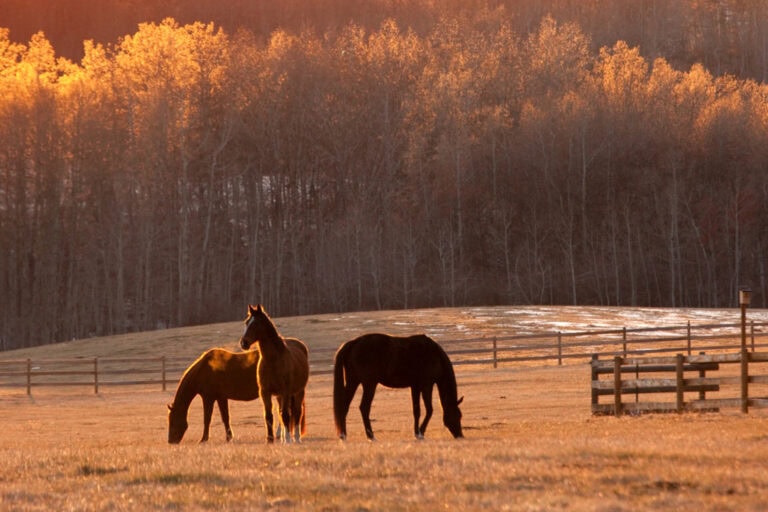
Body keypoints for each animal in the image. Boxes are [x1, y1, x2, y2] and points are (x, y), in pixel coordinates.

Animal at [239, 304, 309, 443]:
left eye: (256, 323)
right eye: (246, 322)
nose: (244, 343)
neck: (272, 360)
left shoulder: (285, 391)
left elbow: (286, 414)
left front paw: (288, 440)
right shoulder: (265, 392)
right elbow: (269, 415)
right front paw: (270, 439)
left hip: (298, 392)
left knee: (297, 412)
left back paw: (296, 438)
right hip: (279, 396)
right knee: (281, 412)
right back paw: (282, 437)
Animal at [333, 333, 464, 441]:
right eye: (458, 415)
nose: (460, 436)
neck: (435, 355)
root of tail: (354, 343)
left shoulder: (415, 386)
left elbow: (417, 410)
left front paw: (417, 433)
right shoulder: (427, 385)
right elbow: (429, 410)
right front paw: (421, 432)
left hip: (353, 382)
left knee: (345, 406)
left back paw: (343, 435)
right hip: (369, 384)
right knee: (364, 407)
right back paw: (371, 436)